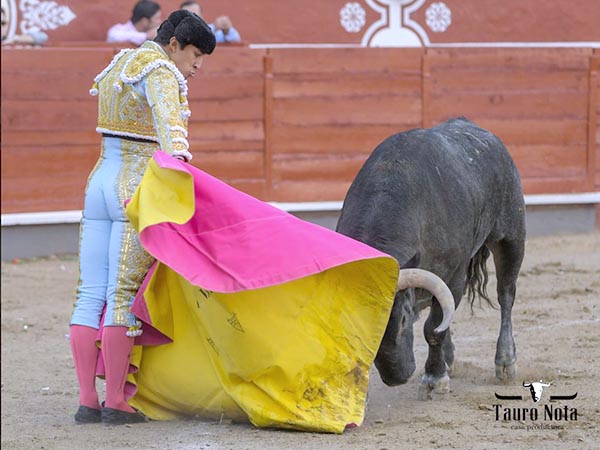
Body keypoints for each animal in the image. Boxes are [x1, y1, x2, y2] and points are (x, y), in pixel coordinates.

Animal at [338, 117, 524, 400]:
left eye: (403, 319)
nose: (397, 377)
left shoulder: (454, 273)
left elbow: (433, 328)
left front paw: (435, 378)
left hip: (511, 236)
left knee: (506, 295)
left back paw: (505, 362)